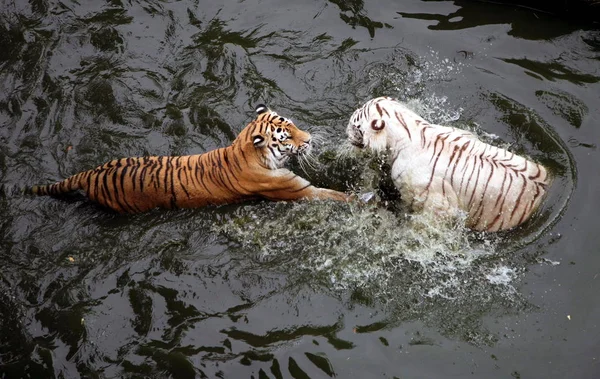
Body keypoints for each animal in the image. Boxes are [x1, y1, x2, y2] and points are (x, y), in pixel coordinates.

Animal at [31, 105, 352, 212]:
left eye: (293, 125)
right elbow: (334, 195)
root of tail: (91, 173)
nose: (308, 139)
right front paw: (361, 200)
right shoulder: (300, 191)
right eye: (284, 137)